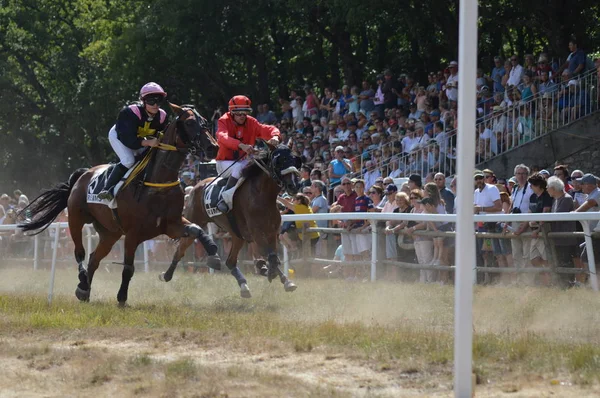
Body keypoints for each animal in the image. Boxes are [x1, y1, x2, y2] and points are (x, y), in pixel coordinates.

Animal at [18, 102, 221, 304]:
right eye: (189, 123)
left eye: (204, 121)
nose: (213, 147)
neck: (157, 183)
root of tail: (83, 174)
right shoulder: (133, 233)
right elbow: (128, 268)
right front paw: (122, 297)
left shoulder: (170, 224)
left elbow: (196, 229)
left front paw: (214, 254)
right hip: (75, 218)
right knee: (80, 252)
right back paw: (83, 280)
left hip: (110, 233)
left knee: (94, 258)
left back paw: (84, 290)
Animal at [159, 141, 302, 296]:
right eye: (278, 160)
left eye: (295, 159)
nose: (293, 186)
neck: (262, 195)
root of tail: (196, 187)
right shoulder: (257, 233)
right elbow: (269, 256)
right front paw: (270, 271)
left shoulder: (272, 232)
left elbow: (272, 256)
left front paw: (282, 278)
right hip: (195, 221)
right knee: (180, 249)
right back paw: (167, 275)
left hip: (236, 234)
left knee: (231, 261)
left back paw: (244, 285)